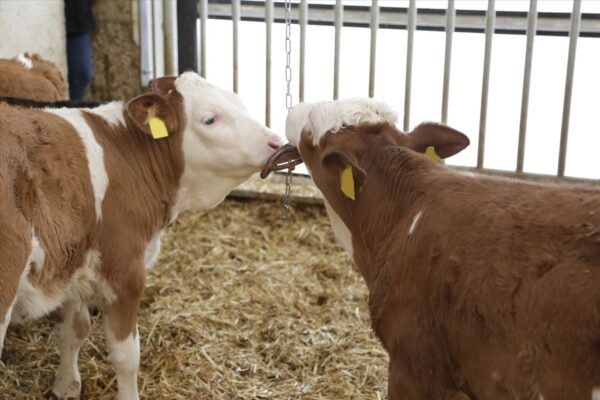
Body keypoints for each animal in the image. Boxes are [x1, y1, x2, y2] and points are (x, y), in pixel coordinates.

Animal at [0, 72, 284, 400]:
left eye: (238, 102)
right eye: (210, 119)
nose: (277, 142)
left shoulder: (74, 259)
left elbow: (73, 331)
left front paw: (66, 385)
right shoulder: (125, 271)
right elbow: (126, 356)